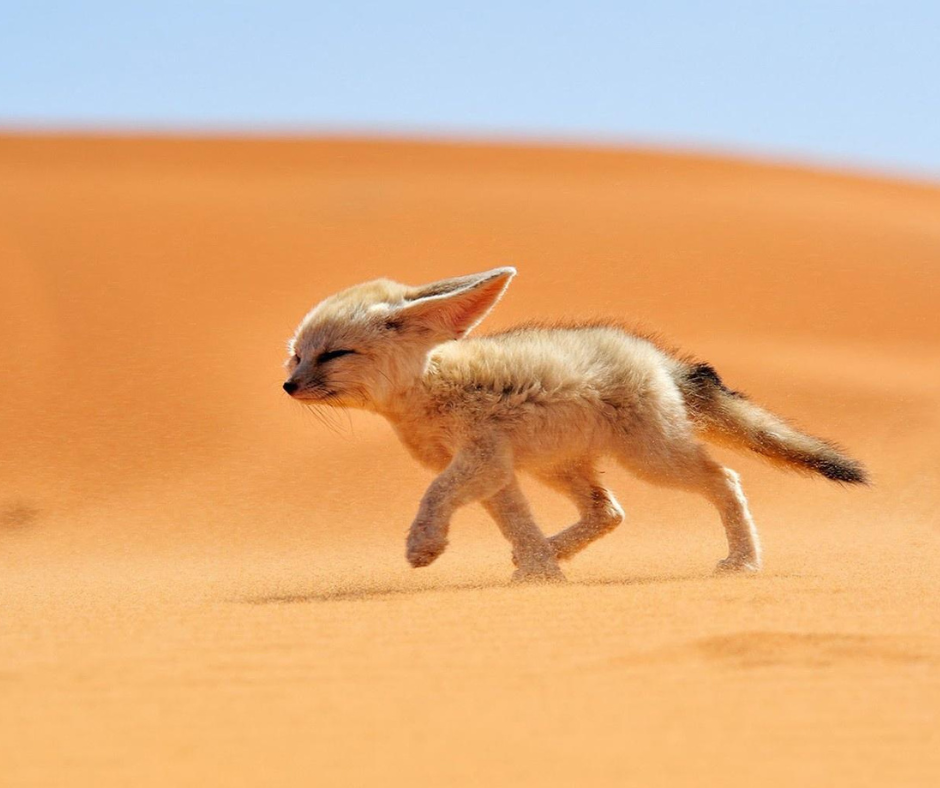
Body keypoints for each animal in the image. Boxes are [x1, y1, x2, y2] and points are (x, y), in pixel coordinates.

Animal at [283, 267, 867, 582]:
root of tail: (656, 356)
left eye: (334, 355)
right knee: (608, 511)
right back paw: (550, 552)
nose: (288, 386)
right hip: (558, 467)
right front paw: (541, 572)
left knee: (724, 479)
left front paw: (424, 545)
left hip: (652, 460)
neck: (430, 387)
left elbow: (435, 495)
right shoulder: (496, 471)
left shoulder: (480, 459)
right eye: (297, 356)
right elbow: (516, 523)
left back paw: (744, 561)